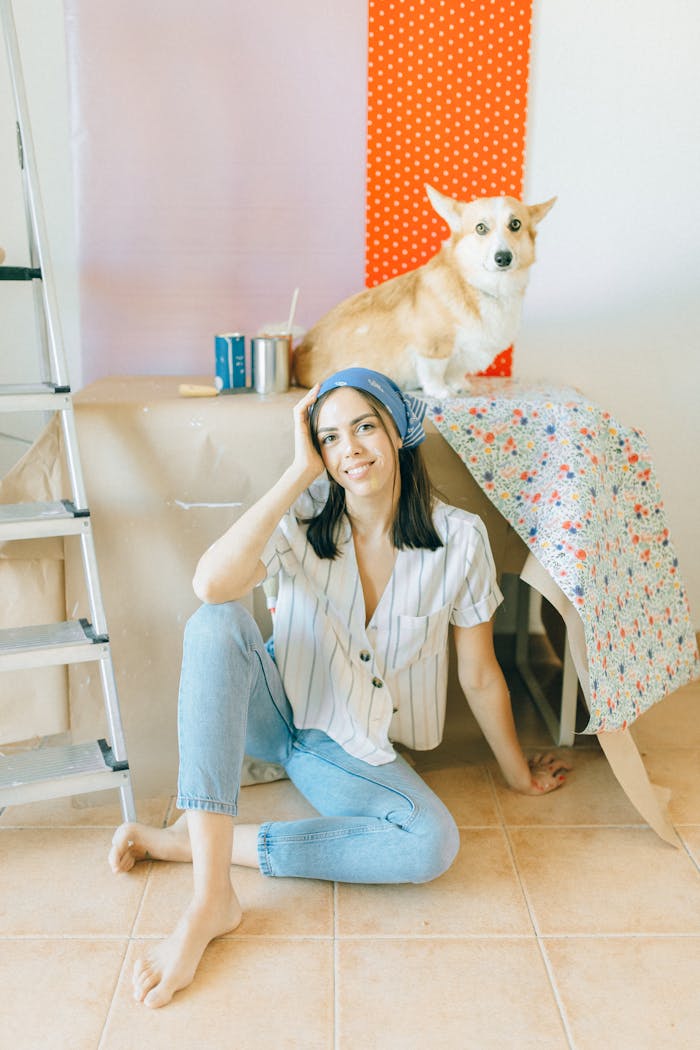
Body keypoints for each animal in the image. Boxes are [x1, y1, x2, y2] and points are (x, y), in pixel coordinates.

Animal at [293, 184, 554, 396]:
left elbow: (456, 371)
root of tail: (298, 357)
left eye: (515, 224)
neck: (486, 288)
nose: (503, 258)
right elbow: (434, 371)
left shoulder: (463, 353)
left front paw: (459, 385)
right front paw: (440, 392)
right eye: (481, 228)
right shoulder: (432, 347)